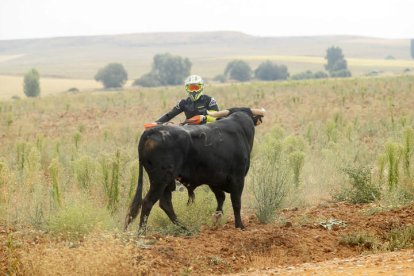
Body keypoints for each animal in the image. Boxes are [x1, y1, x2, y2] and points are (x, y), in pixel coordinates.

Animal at [124, 108, 264, 233]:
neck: (241, 129)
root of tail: (152, 132)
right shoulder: (237, 178)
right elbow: (236, 202)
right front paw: (240, 226)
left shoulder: (214, 179)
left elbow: (221, 198)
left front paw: (216, 220)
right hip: (160, 180)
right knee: (148, 202)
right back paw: (142, 233)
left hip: (167, 182)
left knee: (165, 203)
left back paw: (185, 228)